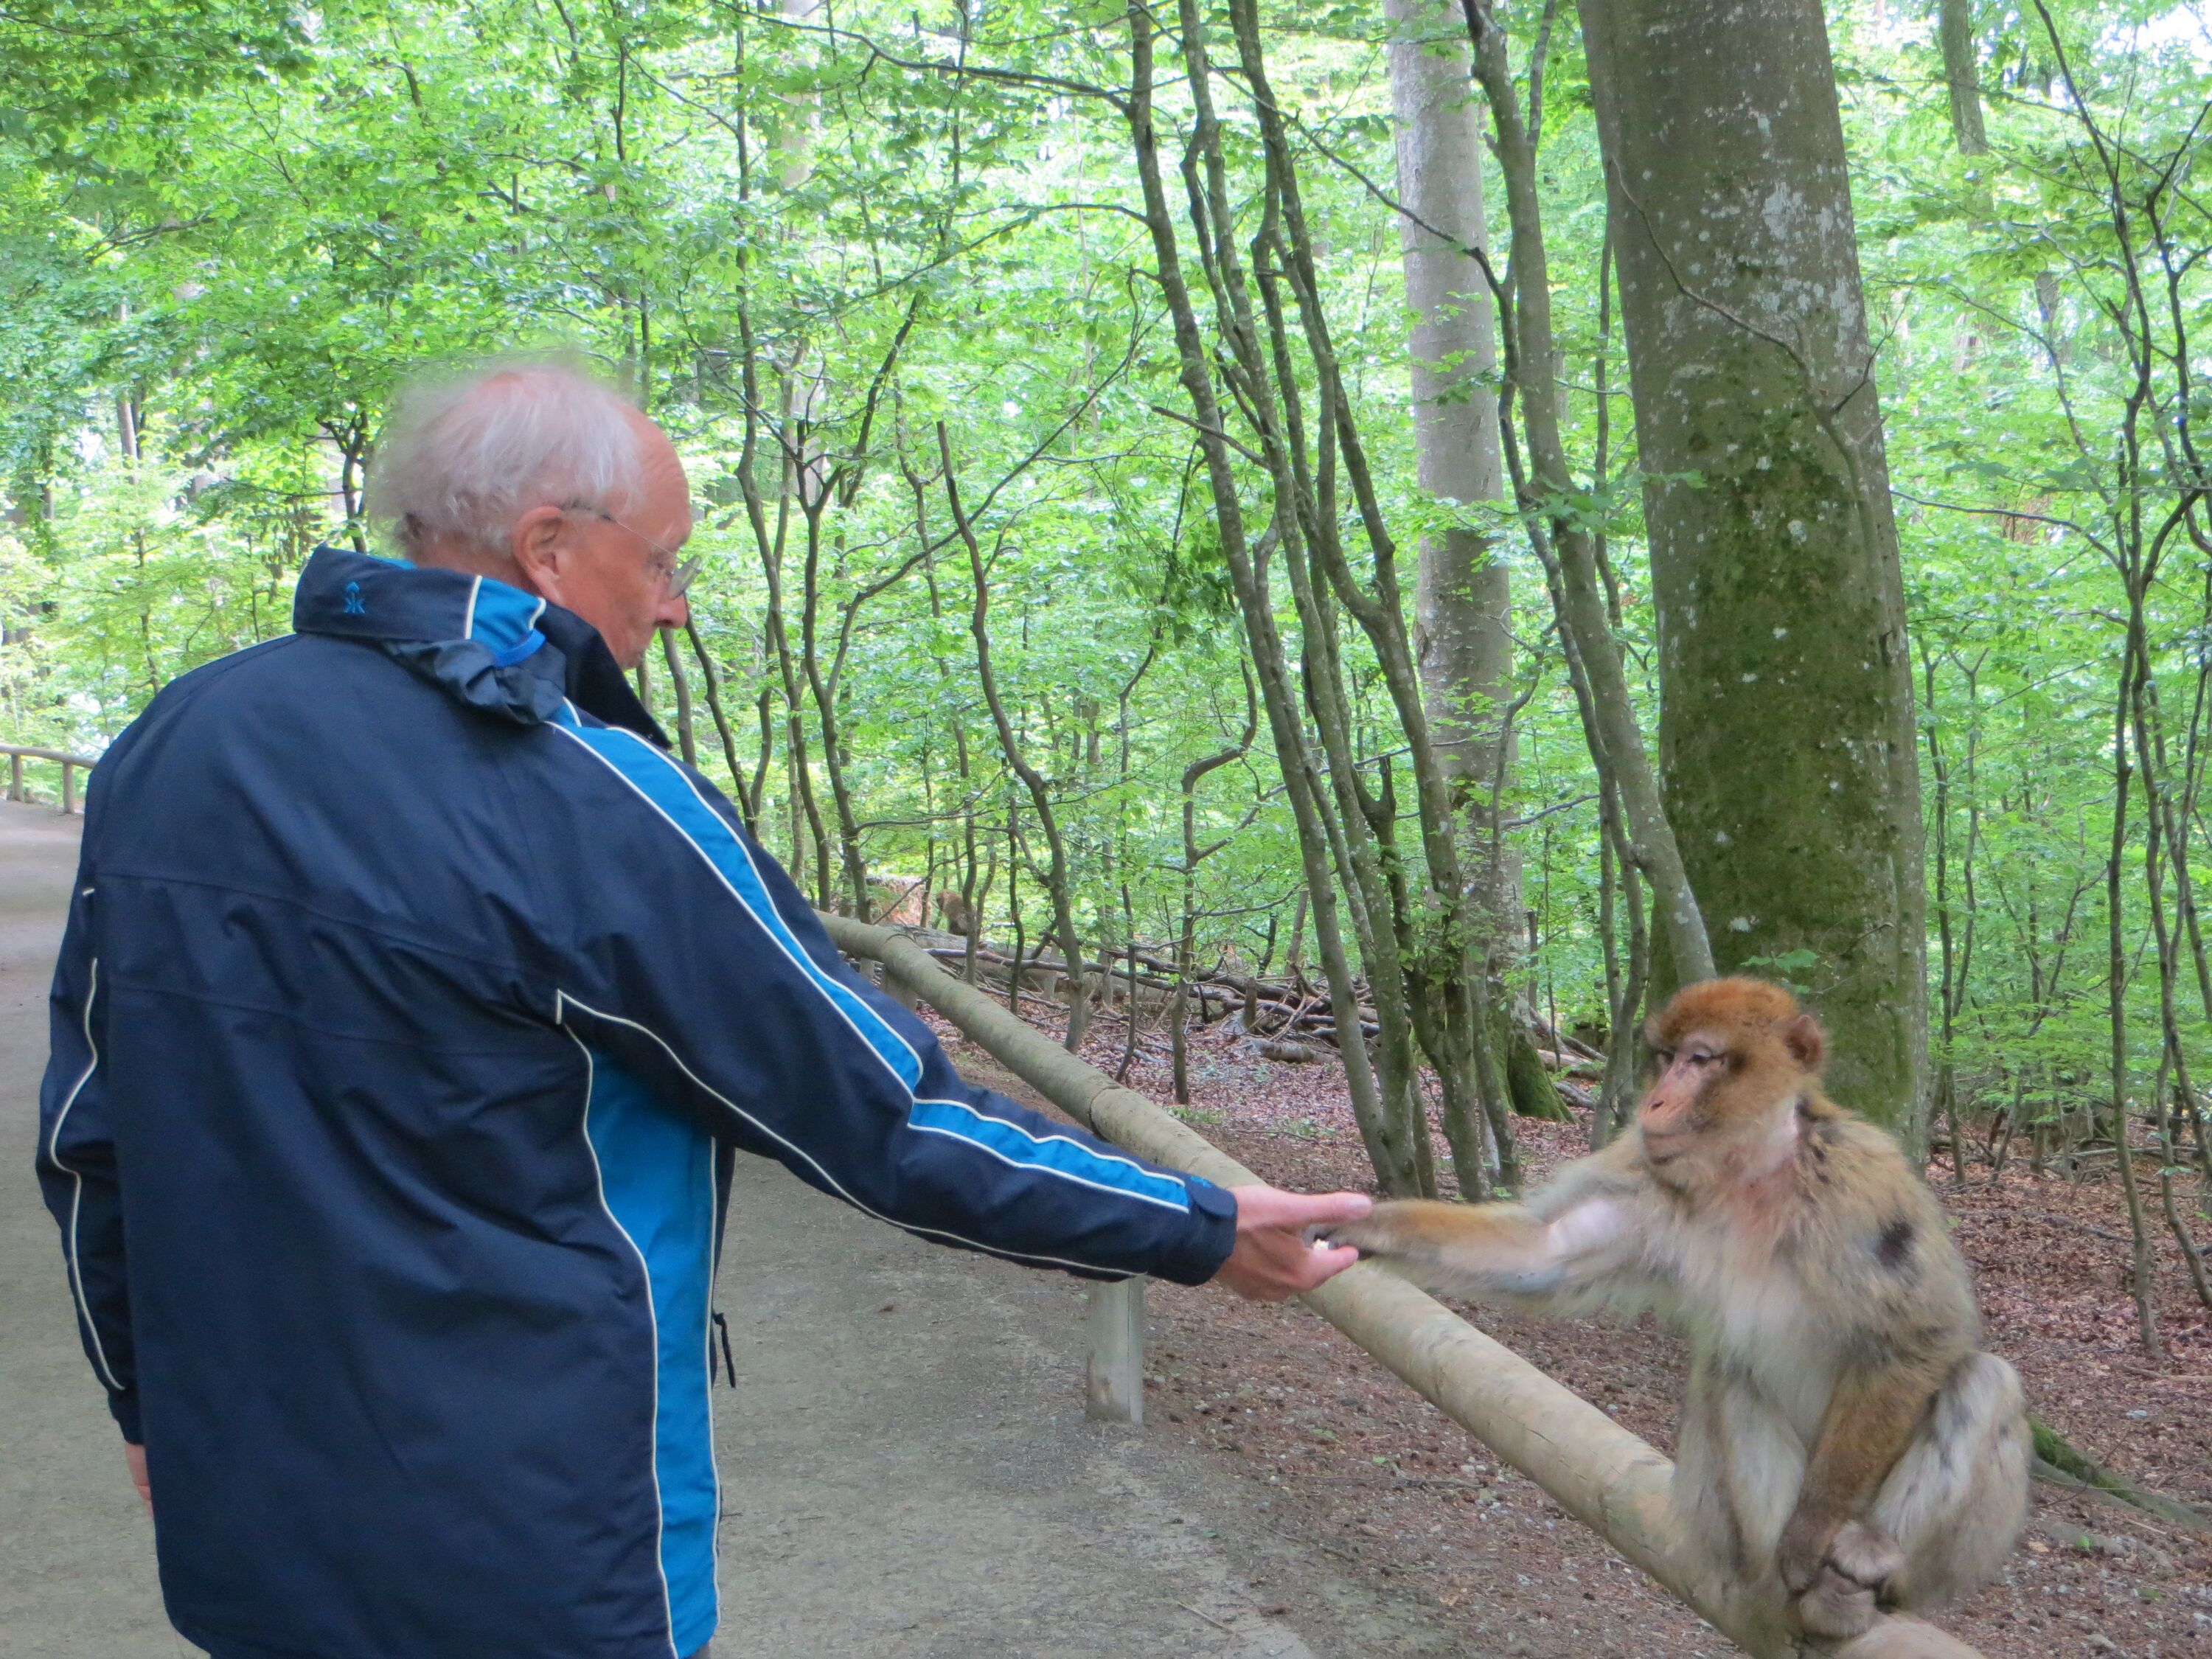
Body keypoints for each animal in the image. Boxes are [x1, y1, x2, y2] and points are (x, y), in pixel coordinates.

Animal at [1320, 979, 2029, 1644]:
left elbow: (1922, 1332)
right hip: (1724, 1520)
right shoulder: (1649, 1169)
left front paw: (1812, 1530)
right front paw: (1363, 1225)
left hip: (1933, 1562)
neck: (1752, 1175)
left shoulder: (1862, 1181)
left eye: (1700, 1060)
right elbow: (1546, 1249)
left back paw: (1865, 1562)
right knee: (1732, 1372)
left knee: (1983, 1380)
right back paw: (1789, 1584)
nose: (1655, 1101)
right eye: (1667, 1059)